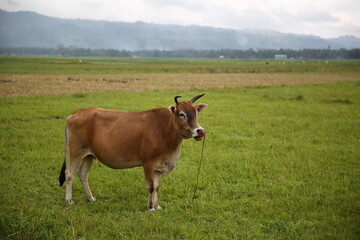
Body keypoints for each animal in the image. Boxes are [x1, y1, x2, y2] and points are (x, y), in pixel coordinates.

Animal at [58, 94, 207, 210]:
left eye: (196, 113)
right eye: (182, 114)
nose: (200, 131)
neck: (164, 129)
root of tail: (79, 111)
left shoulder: (160, 166)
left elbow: (157, 186)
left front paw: (157, 205)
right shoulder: (148, 163)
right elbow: (150, 186)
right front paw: (150, 207)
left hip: (89, 155)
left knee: (83, 174)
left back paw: (90, 198)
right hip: (76, 152)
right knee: (69, 173)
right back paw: (69, 200)